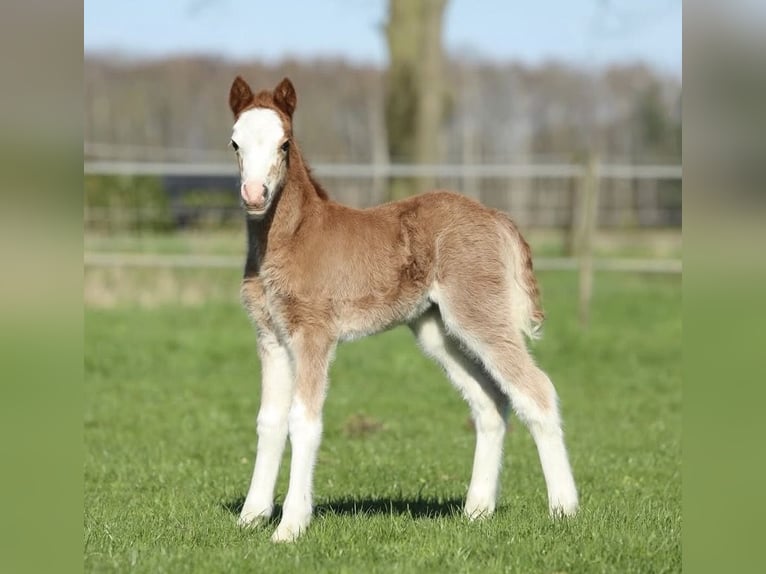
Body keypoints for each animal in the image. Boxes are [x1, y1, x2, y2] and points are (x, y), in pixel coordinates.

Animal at [228, 76, 578, 542]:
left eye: (285, 144)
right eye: (235, 143)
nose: (255, 195)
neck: (293, 237)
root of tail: (495, 216)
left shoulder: (313, 335)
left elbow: (303, 421)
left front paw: (291, 525)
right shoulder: (271, 336)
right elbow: (269, 421)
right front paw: (252, 516)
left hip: (478, 313)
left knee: (536, 390)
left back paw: (564, 508)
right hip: (437, 329)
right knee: (489, 401)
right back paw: (477, 509)